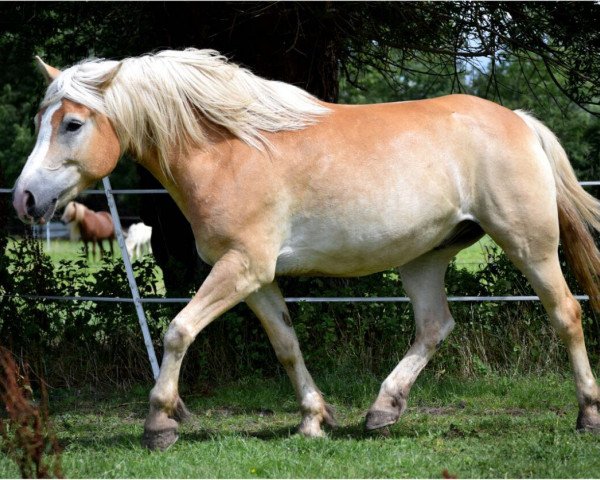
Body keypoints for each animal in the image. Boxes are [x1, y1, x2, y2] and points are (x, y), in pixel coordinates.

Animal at [10, 48, 600, 450]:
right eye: (39, 121)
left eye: (72, 123)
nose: (25, 198)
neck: (227, 151)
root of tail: (519, 120)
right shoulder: (257, 279)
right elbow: (287, 346)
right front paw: (313, 419)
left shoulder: (241, 268)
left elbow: (178, 330)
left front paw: (159, 421)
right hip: (423, 258)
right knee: (435, 326)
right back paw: (382, 410)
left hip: (529, 245)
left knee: (565, 315)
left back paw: (587, 414)